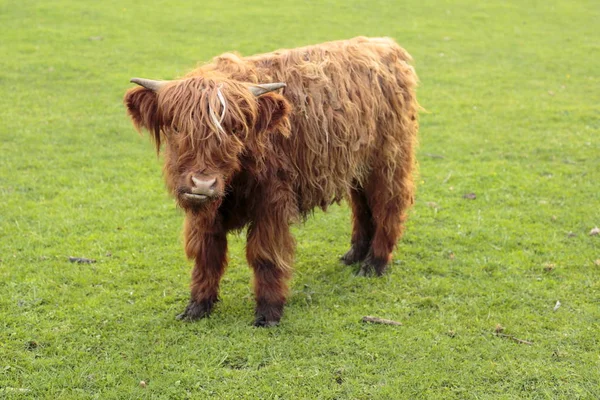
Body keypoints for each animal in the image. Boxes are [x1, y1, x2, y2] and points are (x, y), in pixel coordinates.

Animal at [124, 36, 420, 326]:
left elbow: (264, 255)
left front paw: (268, 313)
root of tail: (385, 45)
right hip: (356, 167)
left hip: (388, 161)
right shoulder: (205, 212)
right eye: (176, 127)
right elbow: (206, 253)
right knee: (362, 206)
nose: (203, 184)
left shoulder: (272, 202)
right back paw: (354, 255)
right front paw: (197, 307)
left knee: (388, 206)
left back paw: (374, 264)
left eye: (236, 129)